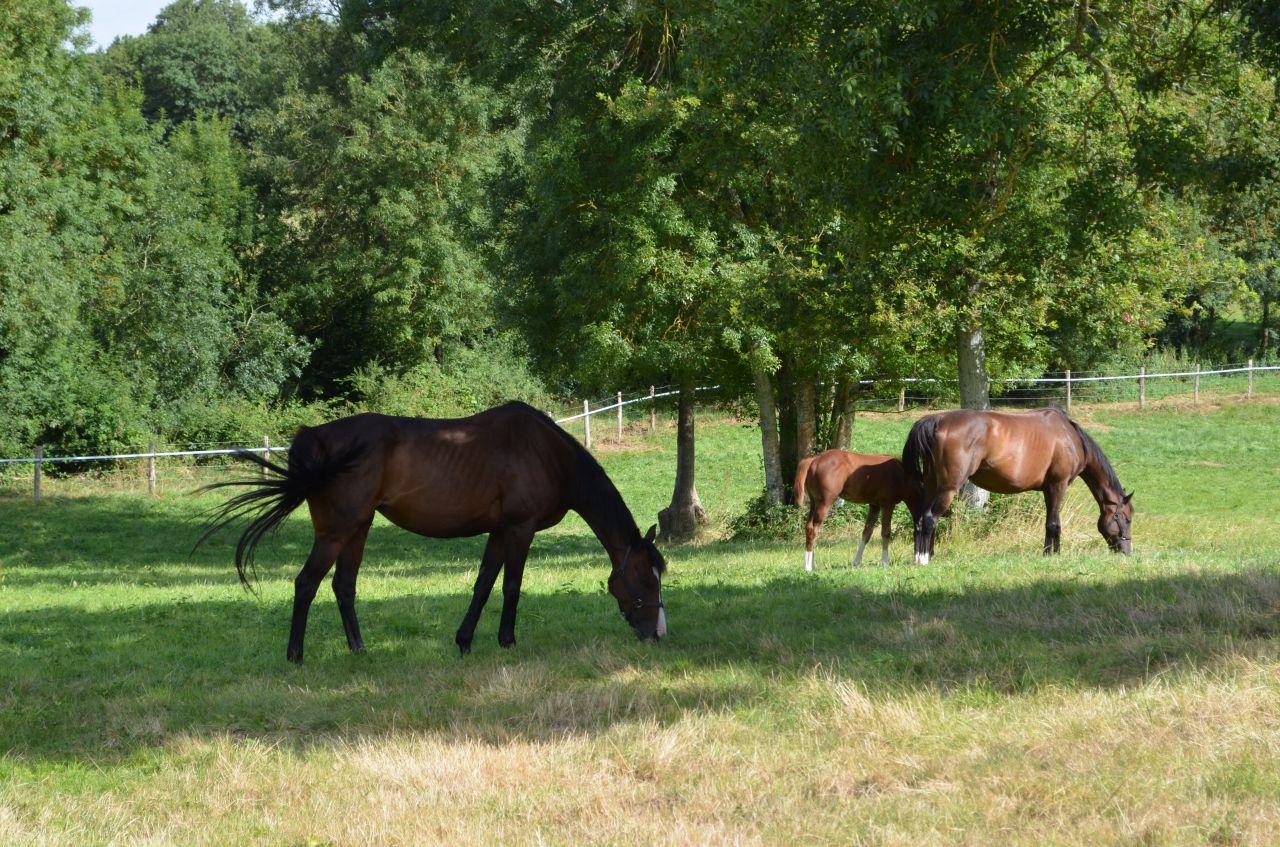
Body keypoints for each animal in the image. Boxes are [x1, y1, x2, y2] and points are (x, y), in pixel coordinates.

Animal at [198, 401, 666, 663]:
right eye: (646, 578)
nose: (658, 634)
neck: (547, 453)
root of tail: (316, 438)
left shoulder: (499, 532)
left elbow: (483, 584)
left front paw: (464, 642)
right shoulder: (520, 529)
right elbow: (511, 586)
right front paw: (507, 642)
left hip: (358, 528)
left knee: (343, 586)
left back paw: (359, 651)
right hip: (336, 531)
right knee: (306, 583)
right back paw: (296, 656)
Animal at [902, 407, 1133, 564]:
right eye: (1126, 519)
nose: (1127, 551)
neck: (1069, 437)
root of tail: (937, 420)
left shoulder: (1048, 490)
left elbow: (1052, 523)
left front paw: (1051, 552)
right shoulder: (1058, 486)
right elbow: (1054, 524)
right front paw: (1051, 555)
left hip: (931, 486)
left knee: (920, 519)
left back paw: (923, 556)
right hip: (947, 488)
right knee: (930, 519)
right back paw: (923, 559)